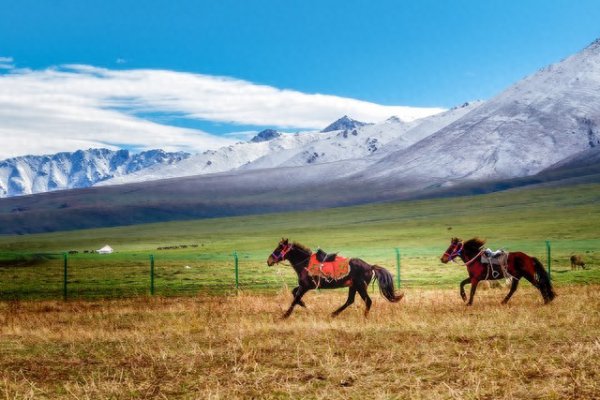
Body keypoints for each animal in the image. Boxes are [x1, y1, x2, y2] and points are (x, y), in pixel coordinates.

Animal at [268, 238, 404, 318]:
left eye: (279, 248)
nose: (269, 261)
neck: (304, 263)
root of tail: (370, 266)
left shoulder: (306, 286)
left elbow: (295, 298)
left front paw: (285, 315)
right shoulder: (304, 286)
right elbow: (294, 293)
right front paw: (304, 305)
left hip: (360, 286)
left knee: (368, 301)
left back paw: (364, 317)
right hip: (353, 286)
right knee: (350, 301)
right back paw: (334, 314)